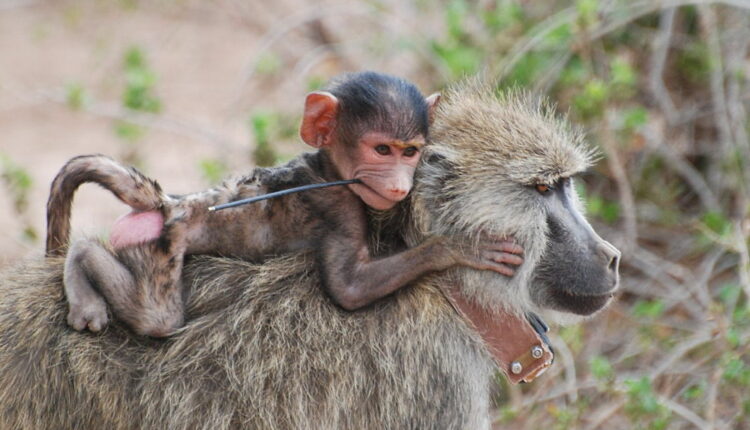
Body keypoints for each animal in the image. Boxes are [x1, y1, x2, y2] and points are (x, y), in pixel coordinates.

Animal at [47, 71, 525, 337]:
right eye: (382, 150)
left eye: (410, 152)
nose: (398, 186)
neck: (328, 166)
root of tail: (172, 203)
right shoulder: (340, 203)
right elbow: (349, 289)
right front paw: (456, 248)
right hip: (159, 246)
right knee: (155, 316)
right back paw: (82, 269)